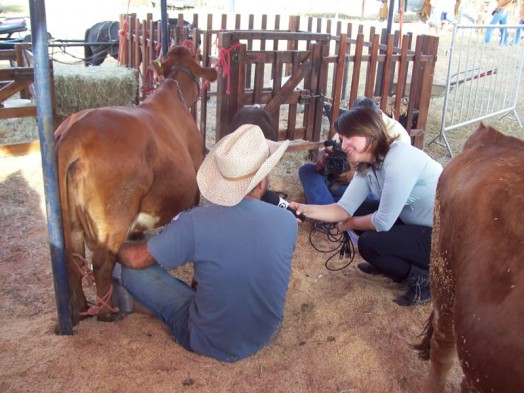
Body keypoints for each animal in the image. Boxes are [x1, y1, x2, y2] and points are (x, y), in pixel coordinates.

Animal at [53, 45, 217, 324]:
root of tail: (74, 132)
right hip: (114, 216)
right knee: (101, 261)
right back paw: (108, 313)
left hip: (69, 220)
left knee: (72, 258)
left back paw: (79, 309)